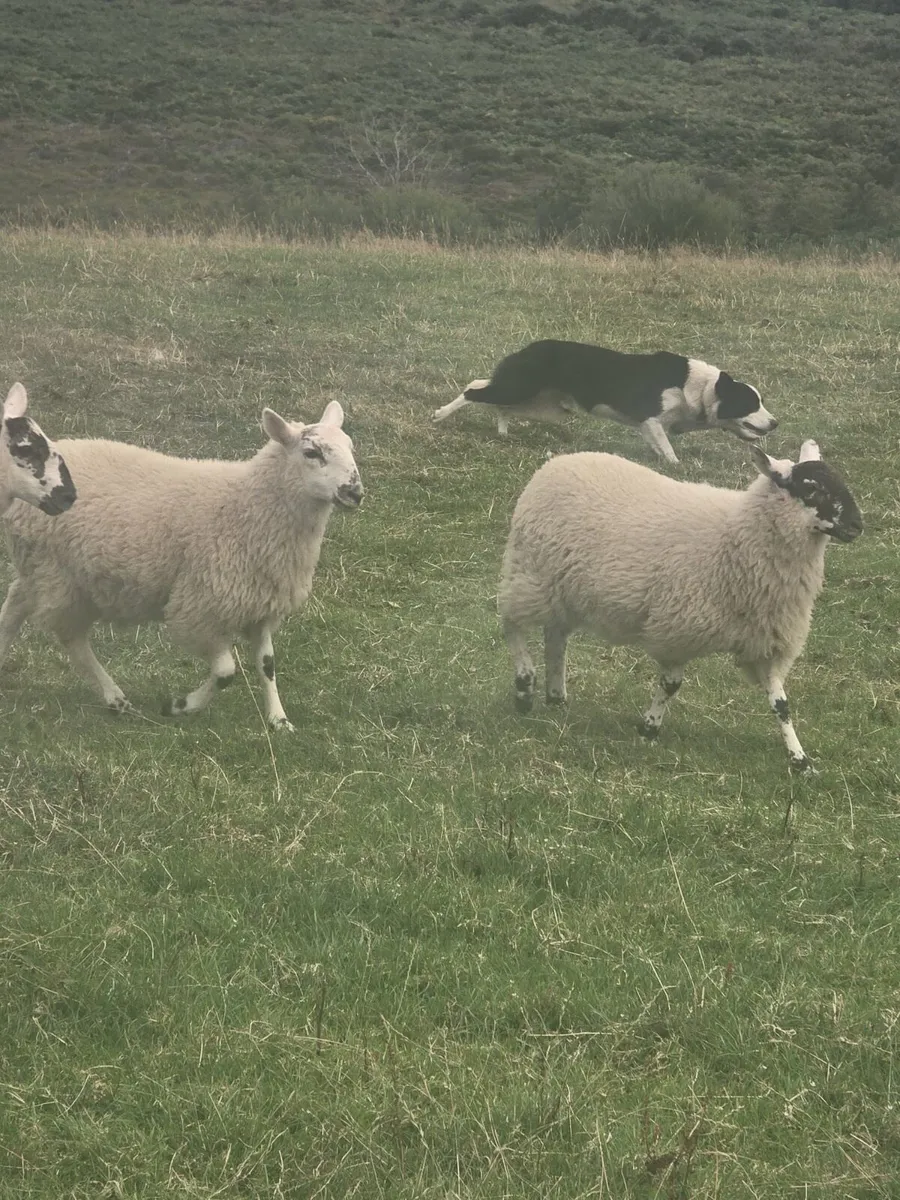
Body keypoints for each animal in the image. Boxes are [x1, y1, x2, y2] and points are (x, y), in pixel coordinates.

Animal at [0, 400, 362, 730]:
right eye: (312, 453)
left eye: (350, 448)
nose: (355, 492)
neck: (249, 506)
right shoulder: (199, 608)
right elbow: (226, 673)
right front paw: (180, 706)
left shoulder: (259, 605)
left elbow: (267, 664)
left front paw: (278, 719)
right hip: (60, 576)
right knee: (71, 638)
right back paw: (114, 697)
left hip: (45, 570)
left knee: (15, 607)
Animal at [498, 441, 863, 770]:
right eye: (811, 488)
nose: (858, 526)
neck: (737, 537)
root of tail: (559, 462)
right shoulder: (678, 627)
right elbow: (671, 685)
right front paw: (649, 728)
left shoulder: (766, 640)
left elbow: (781, 703)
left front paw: (799, 759)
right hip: (530, 573)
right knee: (512, 624)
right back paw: (525, 688)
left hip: (564, 591)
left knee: (555, 637)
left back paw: (556, 697)